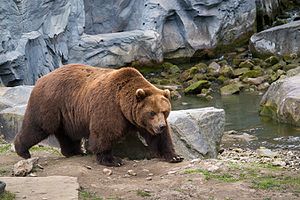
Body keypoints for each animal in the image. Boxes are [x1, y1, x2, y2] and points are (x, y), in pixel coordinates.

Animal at [14, 63, 183, 166]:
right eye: (151, 112)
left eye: (164, 111)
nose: (160, 126)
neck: (123, 104)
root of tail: (42, 78)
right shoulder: (110, 107)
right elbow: (104, 133)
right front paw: (113, 159)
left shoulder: (138, 120)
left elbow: (159, 139)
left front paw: (175, 156)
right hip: (50, 103)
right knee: (37, 127)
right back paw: (23, 151)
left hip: (67, 115)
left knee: (67, 134)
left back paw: (75, 152)